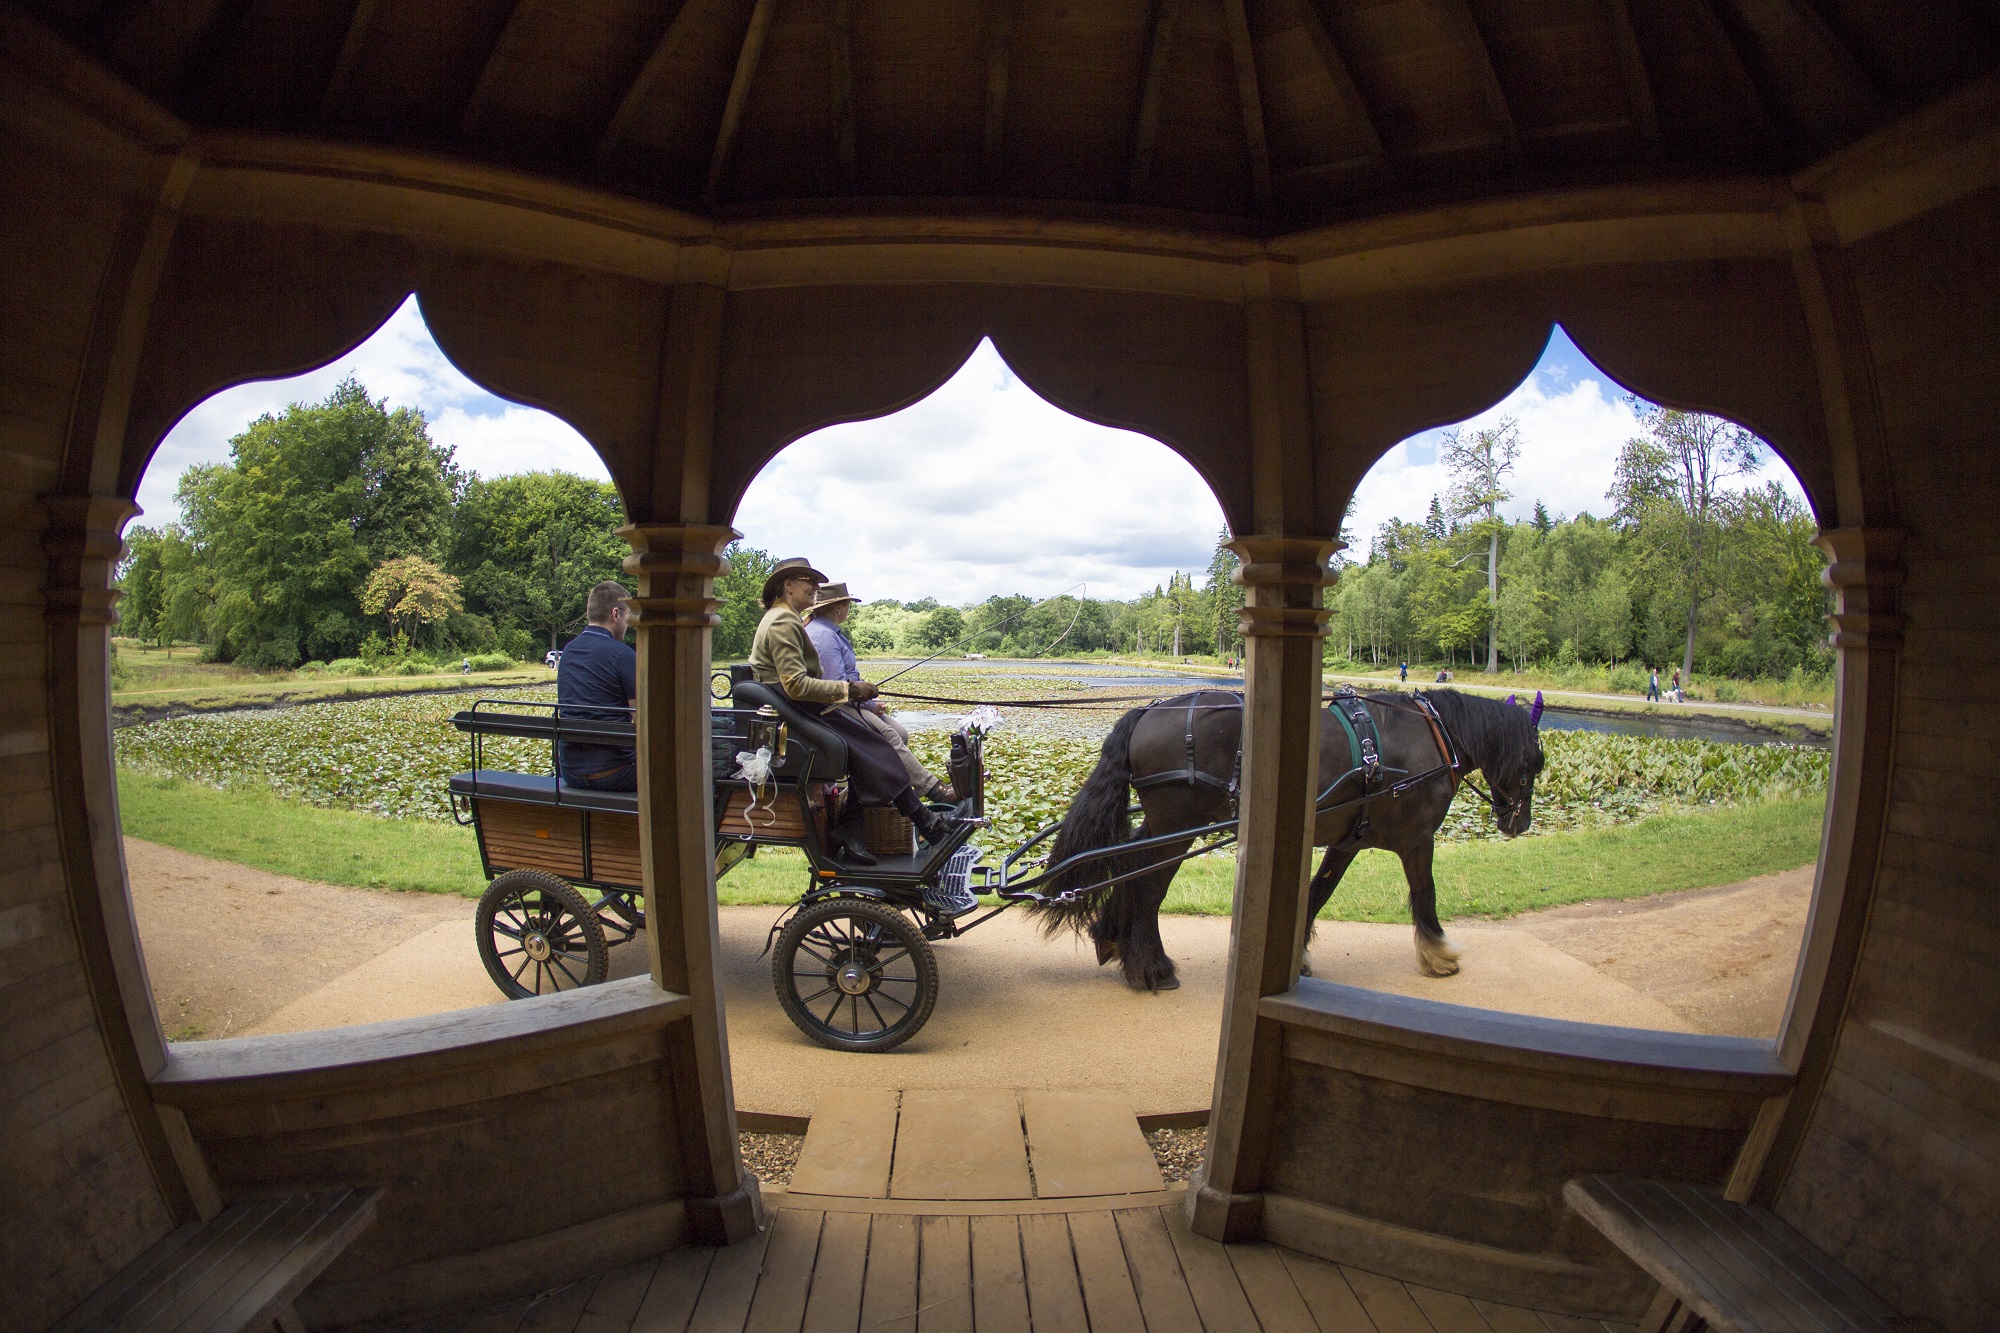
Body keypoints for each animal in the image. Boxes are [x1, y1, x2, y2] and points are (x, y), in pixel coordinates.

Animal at [1032, 684, 1544, 984]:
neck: (1432, 732)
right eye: (1535, 763)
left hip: (1162, 822)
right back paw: (1151, 968)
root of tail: (1148, 709)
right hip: (1181, 824)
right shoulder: (1419, 838)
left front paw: (1295, 959)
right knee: (1146, 884)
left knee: (1132, 871)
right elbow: (1425, 895)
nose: (1518, 822)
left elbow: (1317, 894)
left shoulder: (1348, 839)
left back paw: (1113, 941)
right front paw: (1439, 955)